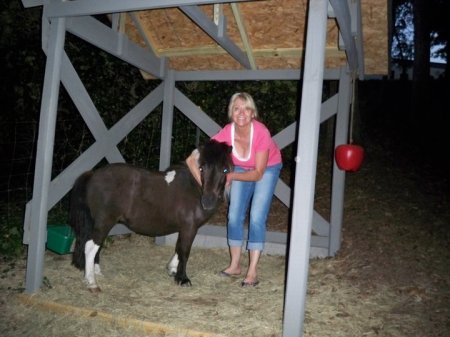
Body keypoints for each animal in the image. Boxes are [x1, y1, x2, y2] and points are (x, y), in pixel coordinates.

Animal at [71, 140, 232, 292]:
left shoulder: (184, 228)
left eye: (225, 169)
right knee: (90, 247)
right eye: (201, 168)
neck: (194, 188)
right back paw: (92, 283)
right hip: (104, 222)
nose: (208, 201)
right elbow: (184, 251)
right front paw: (183, 279)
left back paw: (96, 272)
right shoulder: (189, 228)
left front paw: (172, 270)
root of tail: (92, 174)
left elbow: (178, 248)